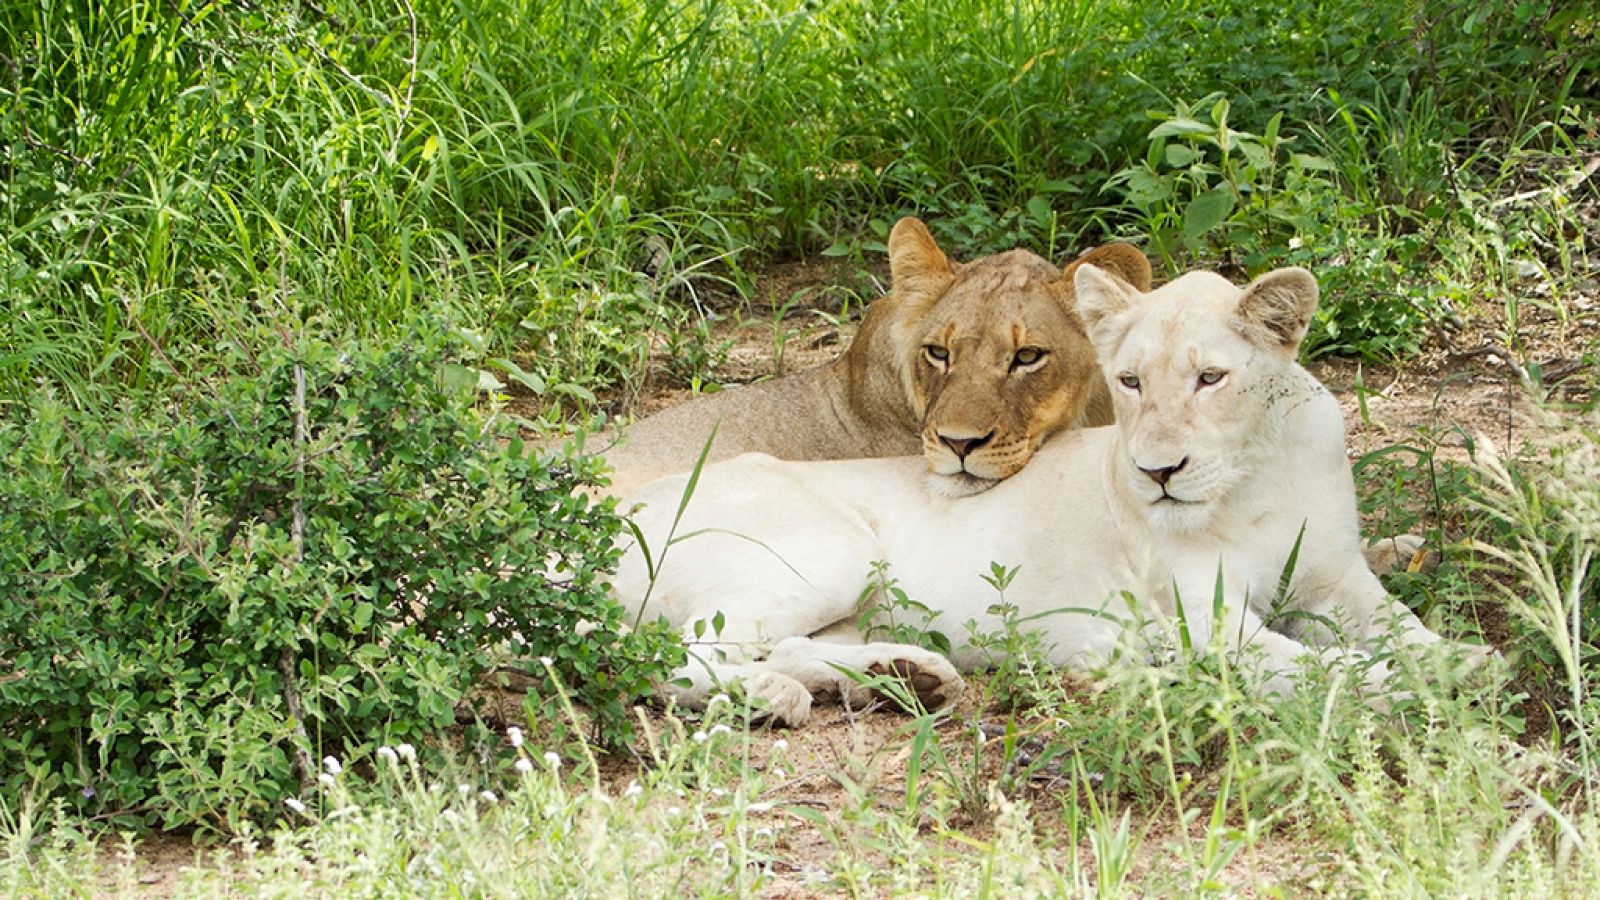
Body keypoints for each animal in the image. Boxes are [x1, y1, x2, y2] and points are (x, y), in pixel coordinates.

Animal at [608, 261, 1472, 720]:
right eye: (1128, 382)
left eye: (1210, 379)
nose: (1156, 472)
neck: (1253, 477)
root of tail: (606, 517)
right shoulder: (1208, 626)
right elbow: (1331, 668)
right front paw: (1429, 689)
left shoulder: (1338, 579)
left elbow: (1402, 630)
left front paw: (1462, 658)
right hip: (826, 550)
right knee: (675, 659)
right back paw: (774, 697)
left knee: (775, 643)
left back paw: (906, 675)